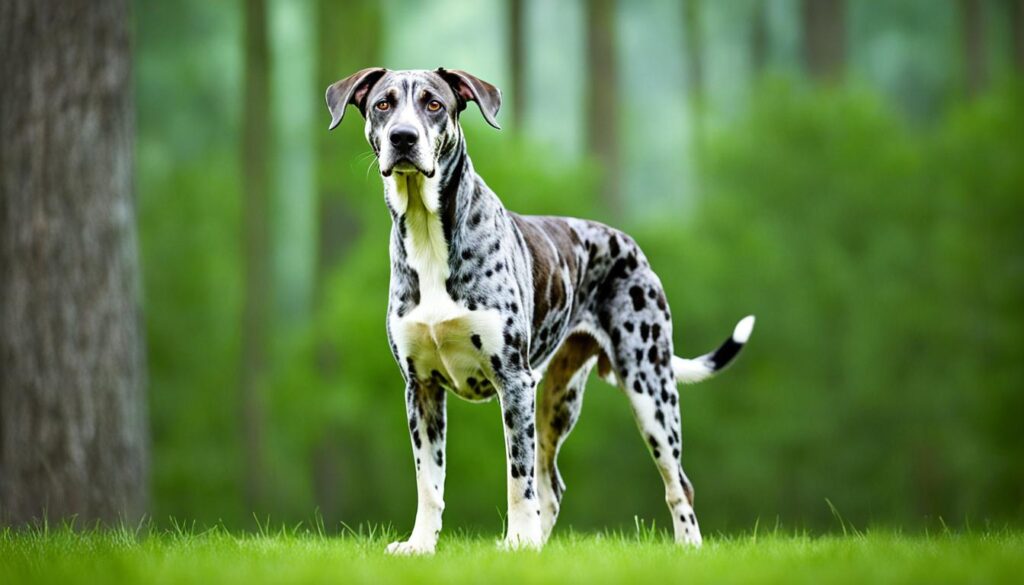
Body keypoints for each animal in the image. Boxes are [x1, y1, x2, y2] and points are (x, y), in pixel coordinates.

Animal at [327, 67, 753, 553]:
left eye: (434, 104)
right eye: (383, 103)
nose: (403, 136)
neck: (429, 235)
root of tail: (630, 246)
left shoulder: (513, 383)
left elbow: (518, 478)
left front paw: (516, 541)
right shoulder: (421, 390)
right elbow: (429, 483)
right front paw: (419, 545)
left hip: (650, 390)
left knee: (676, 483)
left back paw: (686, 546)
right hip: (556, 401)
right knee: (553, 486)